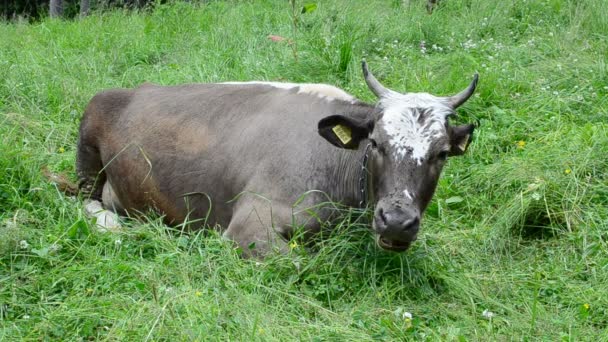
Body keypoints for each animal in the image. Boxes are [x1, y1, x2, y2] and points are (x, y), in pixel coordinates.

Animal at [76, 62, 478, 256]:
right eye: (376, 143)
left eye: (442, 153)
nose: (396, 221)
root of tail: (137, 88)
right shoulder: (249, 226)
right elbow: (305, 264)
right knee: (84, 200)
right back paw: (111, 224)